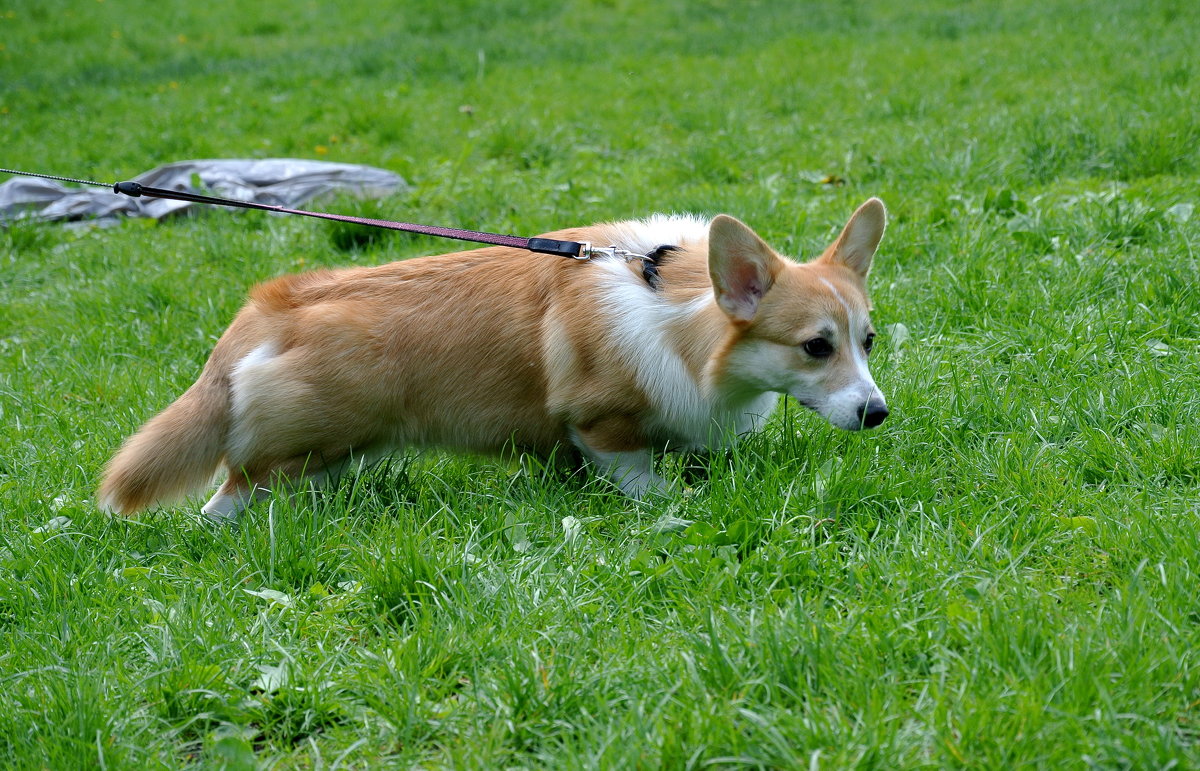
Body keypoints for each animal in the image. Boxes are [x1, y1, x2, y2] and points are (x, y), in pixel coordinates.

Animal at [98, 201, 888, 518]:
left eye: (867, 340)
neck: (681, 314)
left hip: (328, 453)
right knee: (229, 493)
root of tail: (265, 308)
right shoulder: (601, 423)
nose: (877, 413)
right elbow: (639, 475)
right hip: (293, 447)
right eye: (815, 346)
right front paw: (672, 502)